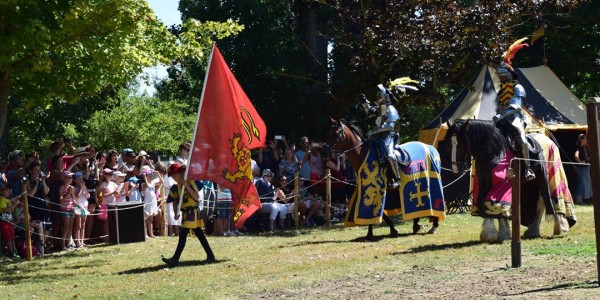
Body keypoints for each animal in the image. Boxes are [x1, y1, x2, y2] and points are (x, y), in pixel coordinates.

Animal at [446, 118, 576, 243]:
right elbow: (484, 204)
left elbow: (496, 205)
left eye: (461, 143)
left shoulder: (501, 186)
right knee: (540, 203)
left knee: (550, 200)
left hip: (551, 174)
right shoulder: (482, 185)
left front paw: (498, 234)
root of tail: (548, 140)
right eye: (449, 145)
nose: (456, 169)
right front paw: (491, 233)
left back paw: (560, 227)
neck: (495, 152)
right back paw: (533, 231)